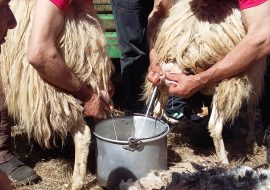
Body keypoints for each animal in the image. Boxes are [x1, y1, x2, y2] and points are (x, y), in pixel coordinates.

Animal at [144, 0, 266, 164]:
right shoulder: (256, 70)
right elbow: (251, 109)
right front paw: (251, 145)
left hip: (163, 82)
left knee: (157, 112)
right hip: (228, 79)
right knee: (215, 126)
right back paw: (224, 163)